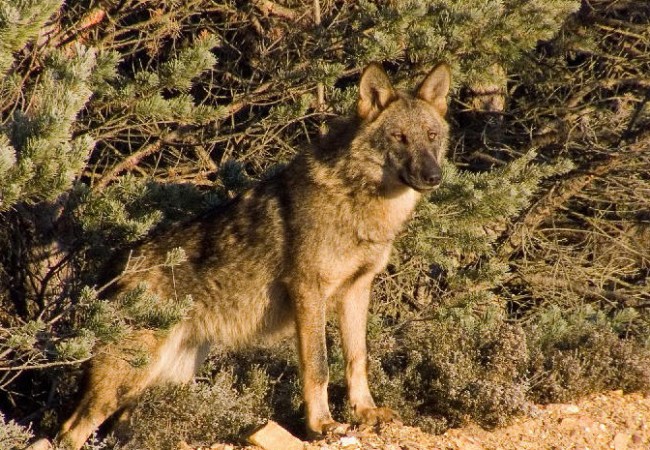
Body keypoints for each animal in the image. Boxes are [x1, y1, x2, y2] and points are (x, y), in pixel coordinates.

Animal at [55, 61, 448, 448]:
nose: (435, 175)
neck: (360, 203)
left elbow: (357, 359)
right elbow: (318, 367)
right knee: (69, 431)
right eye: (399, 137)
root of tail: (112, 267)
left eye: (431, 136)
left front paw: (366, 411)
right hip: (126, 382)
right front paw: (321, 425)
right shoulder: (309, 291)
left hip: (161, 382)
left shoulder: (357, 289)